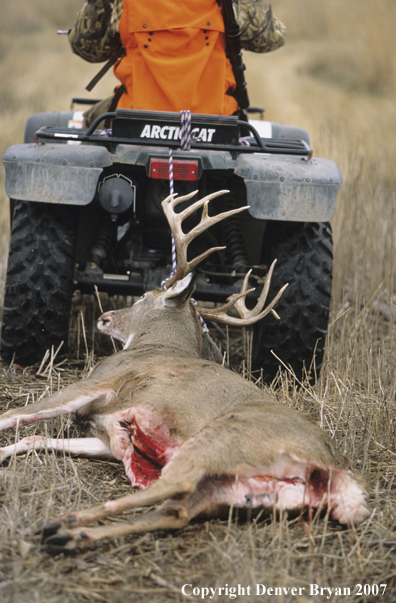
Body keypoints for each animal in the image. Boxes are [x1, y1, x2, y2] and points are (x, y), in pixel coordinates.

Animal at [0, 190, 372, 552]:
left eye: (142, 297)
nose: (105, 317)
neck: (154, 343)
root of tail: (336, 466)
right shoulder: (107, 436)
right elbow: (36, 437)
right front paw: (5, 453)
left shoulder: (102, 379)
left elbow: (17, 414)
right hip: (241, 490)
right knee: (175, 511)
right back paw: (69, 535)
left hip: (222, 438)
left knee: (176, 484)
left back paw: (64, 524)